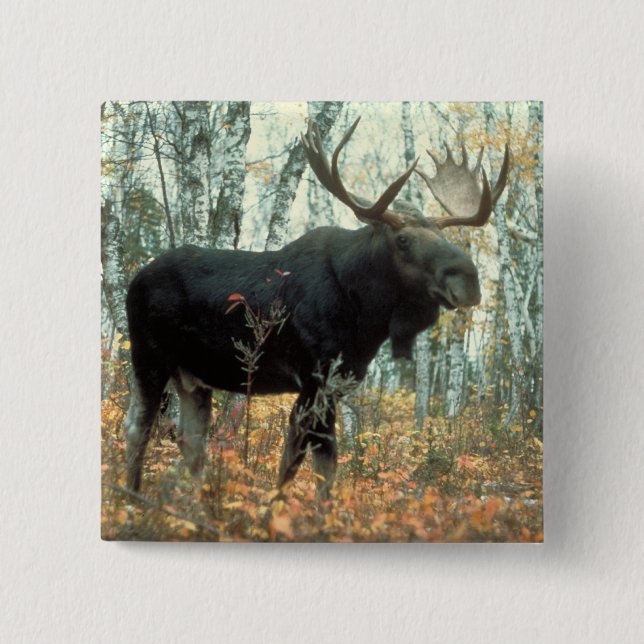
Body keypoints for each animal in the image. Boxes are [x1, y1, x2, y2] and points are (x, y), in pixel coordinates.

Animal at [124, 116, 509, 499]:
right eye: (403, 240)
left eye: (443, 237)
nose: (469, 279)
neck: (366, 317)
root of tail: (135, 279)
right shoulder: (314, 378)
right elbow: (304, 464)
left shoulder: (335, 383)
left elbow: (316, 466)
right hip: (150, 356)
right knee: (138, 427)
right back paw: (133, 497)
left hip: (193, 377)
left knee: (191, 442)